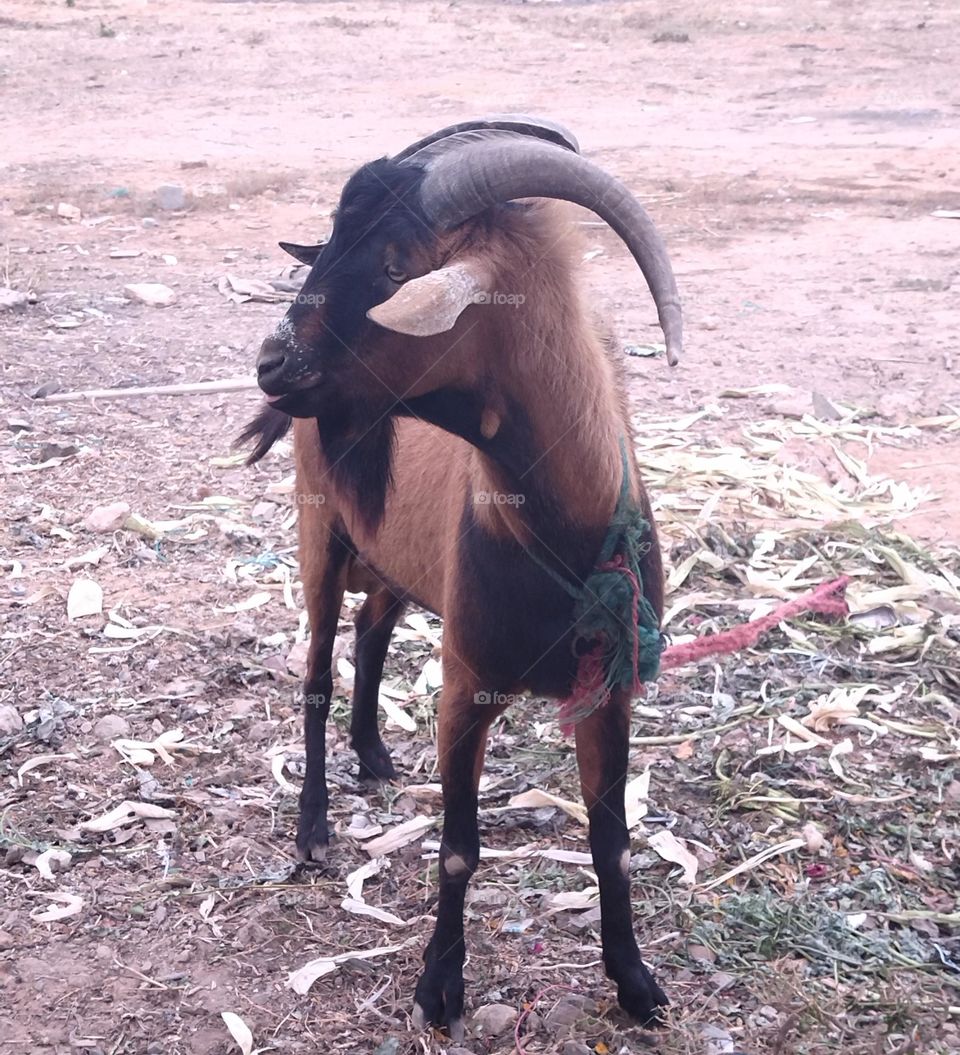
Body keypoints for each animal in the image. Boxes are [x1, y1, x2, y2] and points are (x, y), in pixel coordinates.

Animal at [241, 115, 683, 1038]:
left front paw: (635, 982)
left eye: (393, 263)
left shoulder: (610, 689)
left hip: (395, 564)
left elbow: (612, 840)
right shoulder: (466, 683)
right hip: (319, 538)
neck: (561, 530)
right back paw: (313, 828)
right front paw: (439, 988)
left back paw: (374, 754)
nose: (271, 362)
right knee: (317, 671)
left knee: (372, 629)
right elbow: (456, 849)